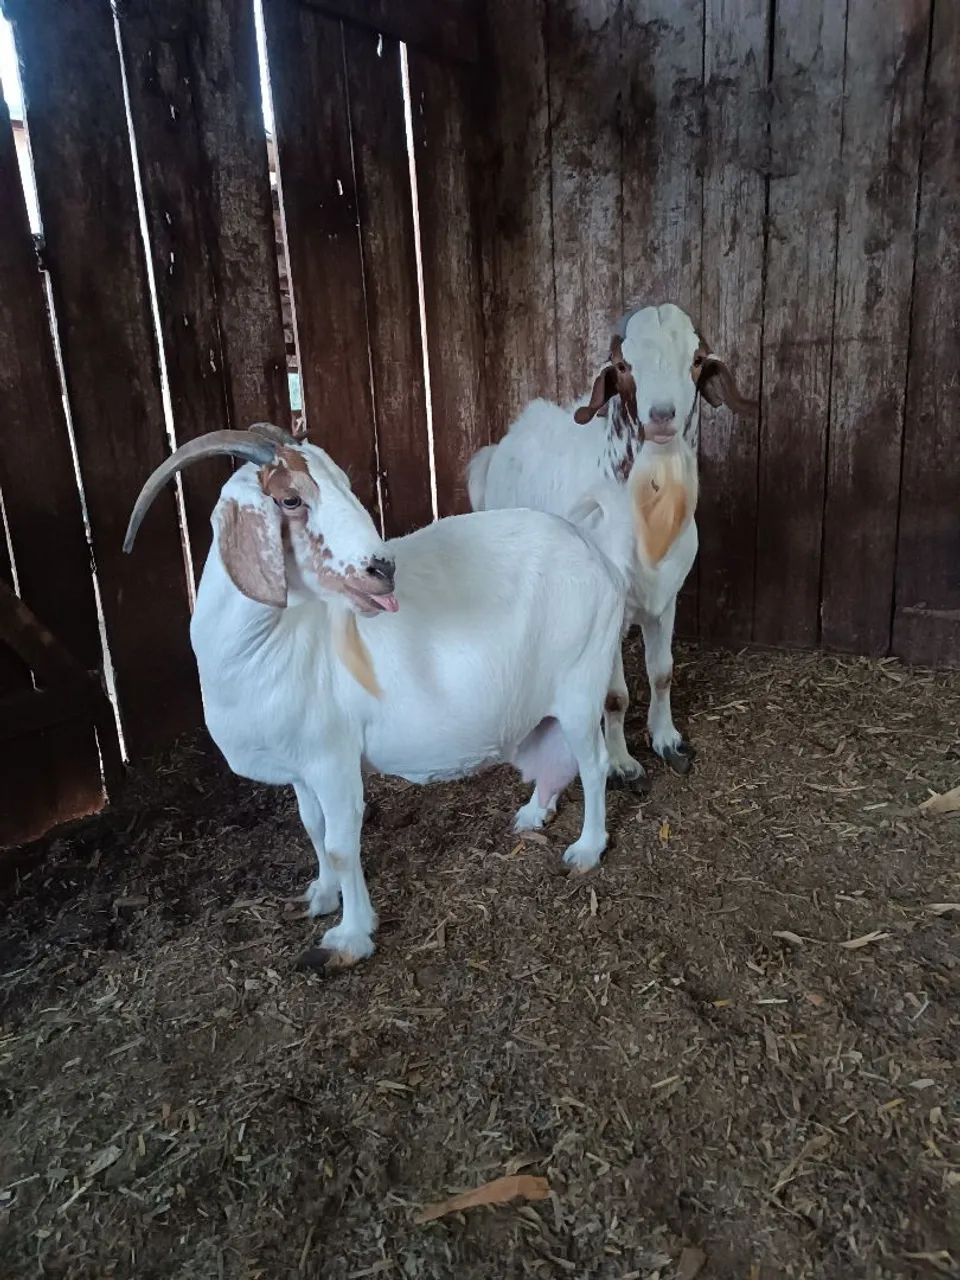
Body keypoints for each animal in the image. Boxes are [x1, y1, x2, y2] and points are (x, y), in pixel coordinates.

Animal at [124, 424, 626, 968]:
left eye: (344, 484)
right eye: (290, 499)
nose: (383, 569)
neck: (281, 642)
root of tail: (596, 554)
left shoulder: (334, 760)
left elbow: (341, 844)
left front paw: (351, 937)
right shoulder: (301, 764)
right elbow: (312, 827)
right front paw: (320, 896)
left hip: (581, 683)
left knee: (594, 763)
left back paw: (587, 849)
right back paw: (534, 812)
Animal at [467, 303, 756, 786]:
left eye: (697, 360)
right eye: (623, 367)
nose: (662, 415)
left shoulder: (667, 599)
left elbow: (662, 673)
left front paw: (667, 740)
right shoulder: (608, 609)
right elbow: (614, 696)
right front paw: (622, 765)